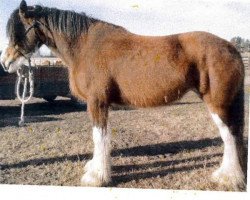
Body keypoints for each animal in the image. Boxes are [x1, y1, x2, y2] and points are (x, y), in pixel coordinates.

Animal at [0, 0, 247, 191]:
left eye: (18, 29)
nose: (6, 62)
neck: (85, 46)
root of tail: (230, 47)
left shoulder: (97, 103)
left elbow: (99, 136)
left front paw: (96, 177)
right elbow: (100, 137)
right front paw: (95, 168)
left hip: (218, 104)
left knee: (230, 136)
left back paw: (228, 178)